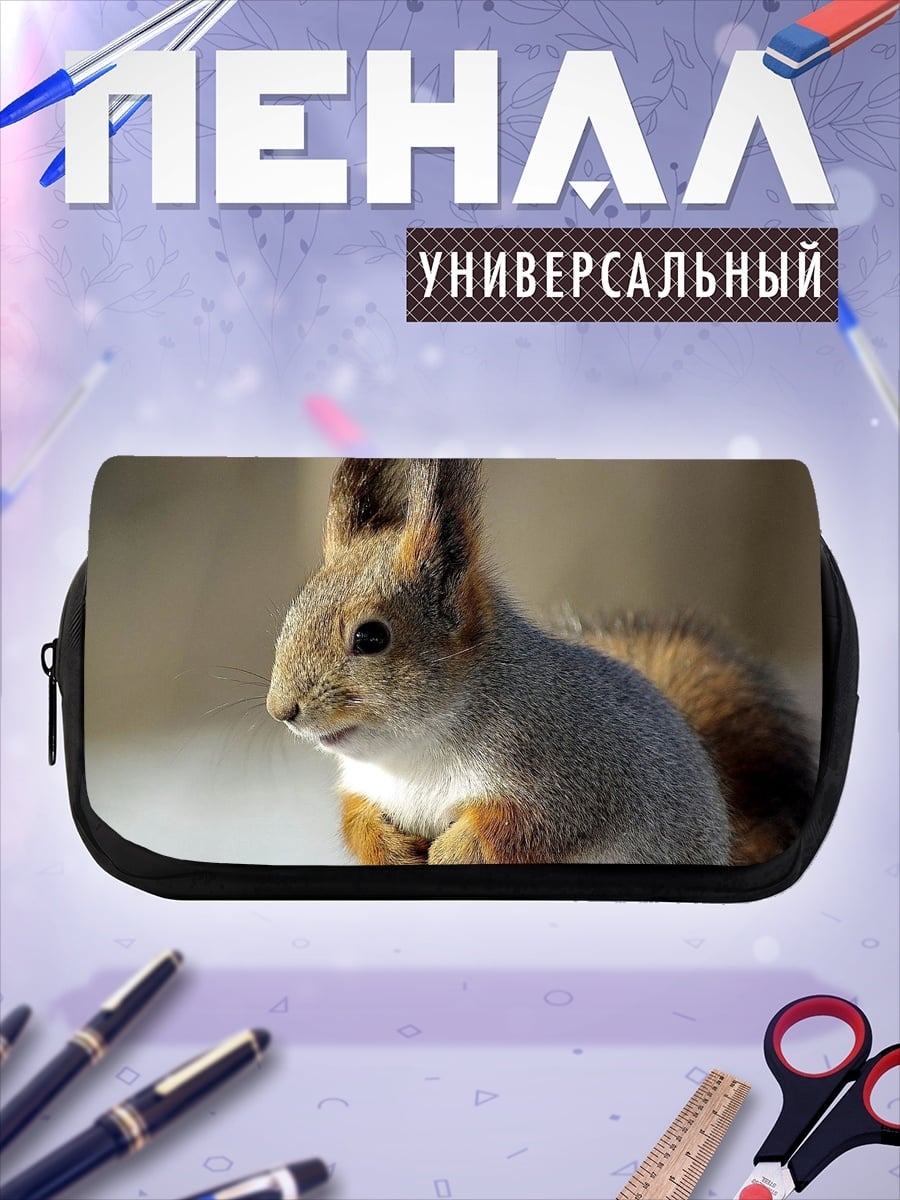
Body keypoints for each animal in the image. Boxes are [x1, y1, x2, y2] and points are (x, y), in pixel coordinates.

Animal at [266, 458, 816, 867]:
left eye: (371, 637)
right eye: (295, 609)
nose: (281, 710)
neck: (415, 755)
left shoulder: (577, 776)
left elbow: (527, 826)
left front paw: (456, 849)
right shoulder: (365, 788)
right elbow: (357, 819)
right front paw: (389, 846)